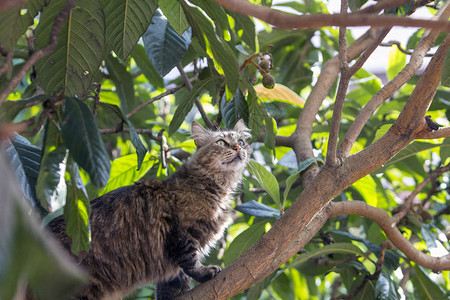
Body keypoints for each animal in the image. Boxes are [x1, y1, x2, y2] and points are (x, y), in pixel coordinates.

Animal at [44, 120, 253, 300]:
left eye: (241, 142)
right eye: (221, 142)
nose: (237, 148)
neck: (218, 187)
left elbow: (173, 282)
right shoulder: (179, 233)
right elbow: (189, 262)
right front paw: (205, 273)